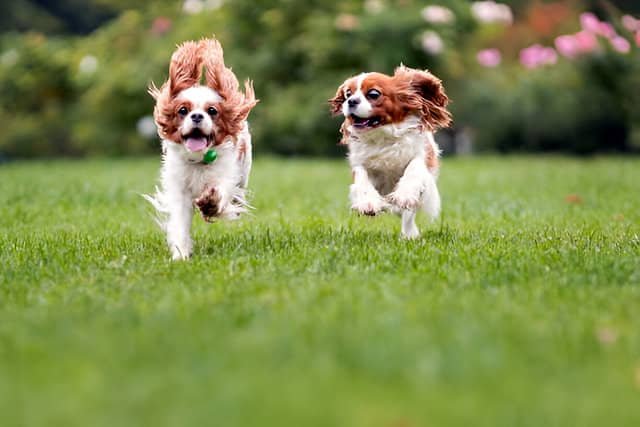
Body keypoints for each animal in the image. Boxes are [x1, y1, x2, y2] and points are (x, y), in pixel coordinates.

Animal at [145, 38, 258, 260]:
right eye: (183, 110)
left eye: (212, 111)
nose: (197, 116)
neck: (198, 160)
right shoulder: (179, 190)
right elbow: (180, 224)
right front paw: (180, 255)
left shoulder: (226, 175)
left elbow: (220, 193)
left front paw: (210, 203)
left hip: (243, 174)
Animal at [332, 65, 452, 239]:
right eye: (348, 94)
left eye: (373, 94)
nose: (351, 101)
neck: (383, 137)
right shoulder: (360, 163)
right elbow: (361, 179)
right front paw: (368, 203)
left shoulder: (422, 156)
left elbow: (413, 168)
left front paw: (404, 195)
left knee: (408, 215)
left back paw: (409, 235)